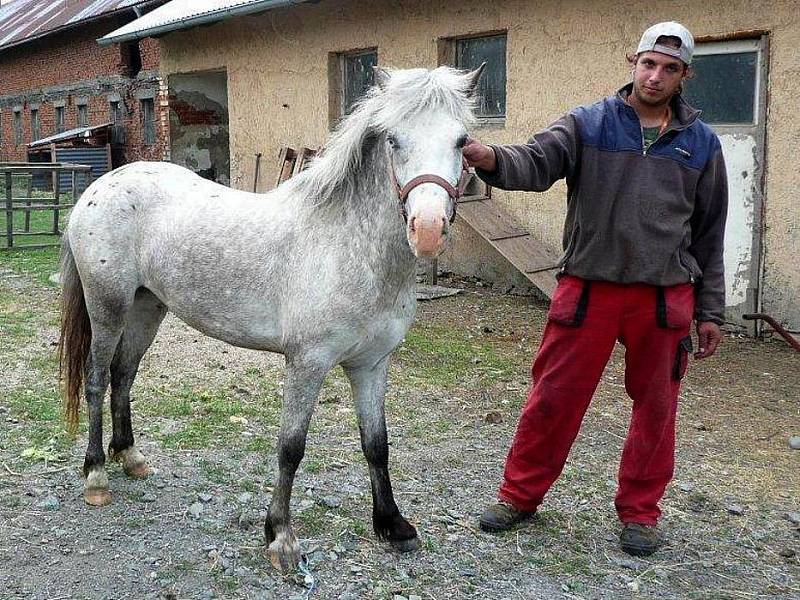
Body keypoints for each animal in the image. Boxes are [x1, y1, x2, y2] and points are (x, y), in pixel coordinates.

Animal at [57, 64, 482, 572]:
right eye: (393, 139)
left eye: (462, 140)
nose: (429, 229)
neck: (348, 245)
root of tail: (99, 188)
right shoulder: (308, 363)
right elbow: (291, 448)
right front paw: (280, 538)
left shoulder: (371, 364)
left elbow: (376, 444)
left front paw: (392, 525)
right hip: (109, 306)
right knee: (98, 379)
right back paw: (97, 476)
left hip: (147, 306)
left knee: (124, 376)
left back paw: (132, 459)